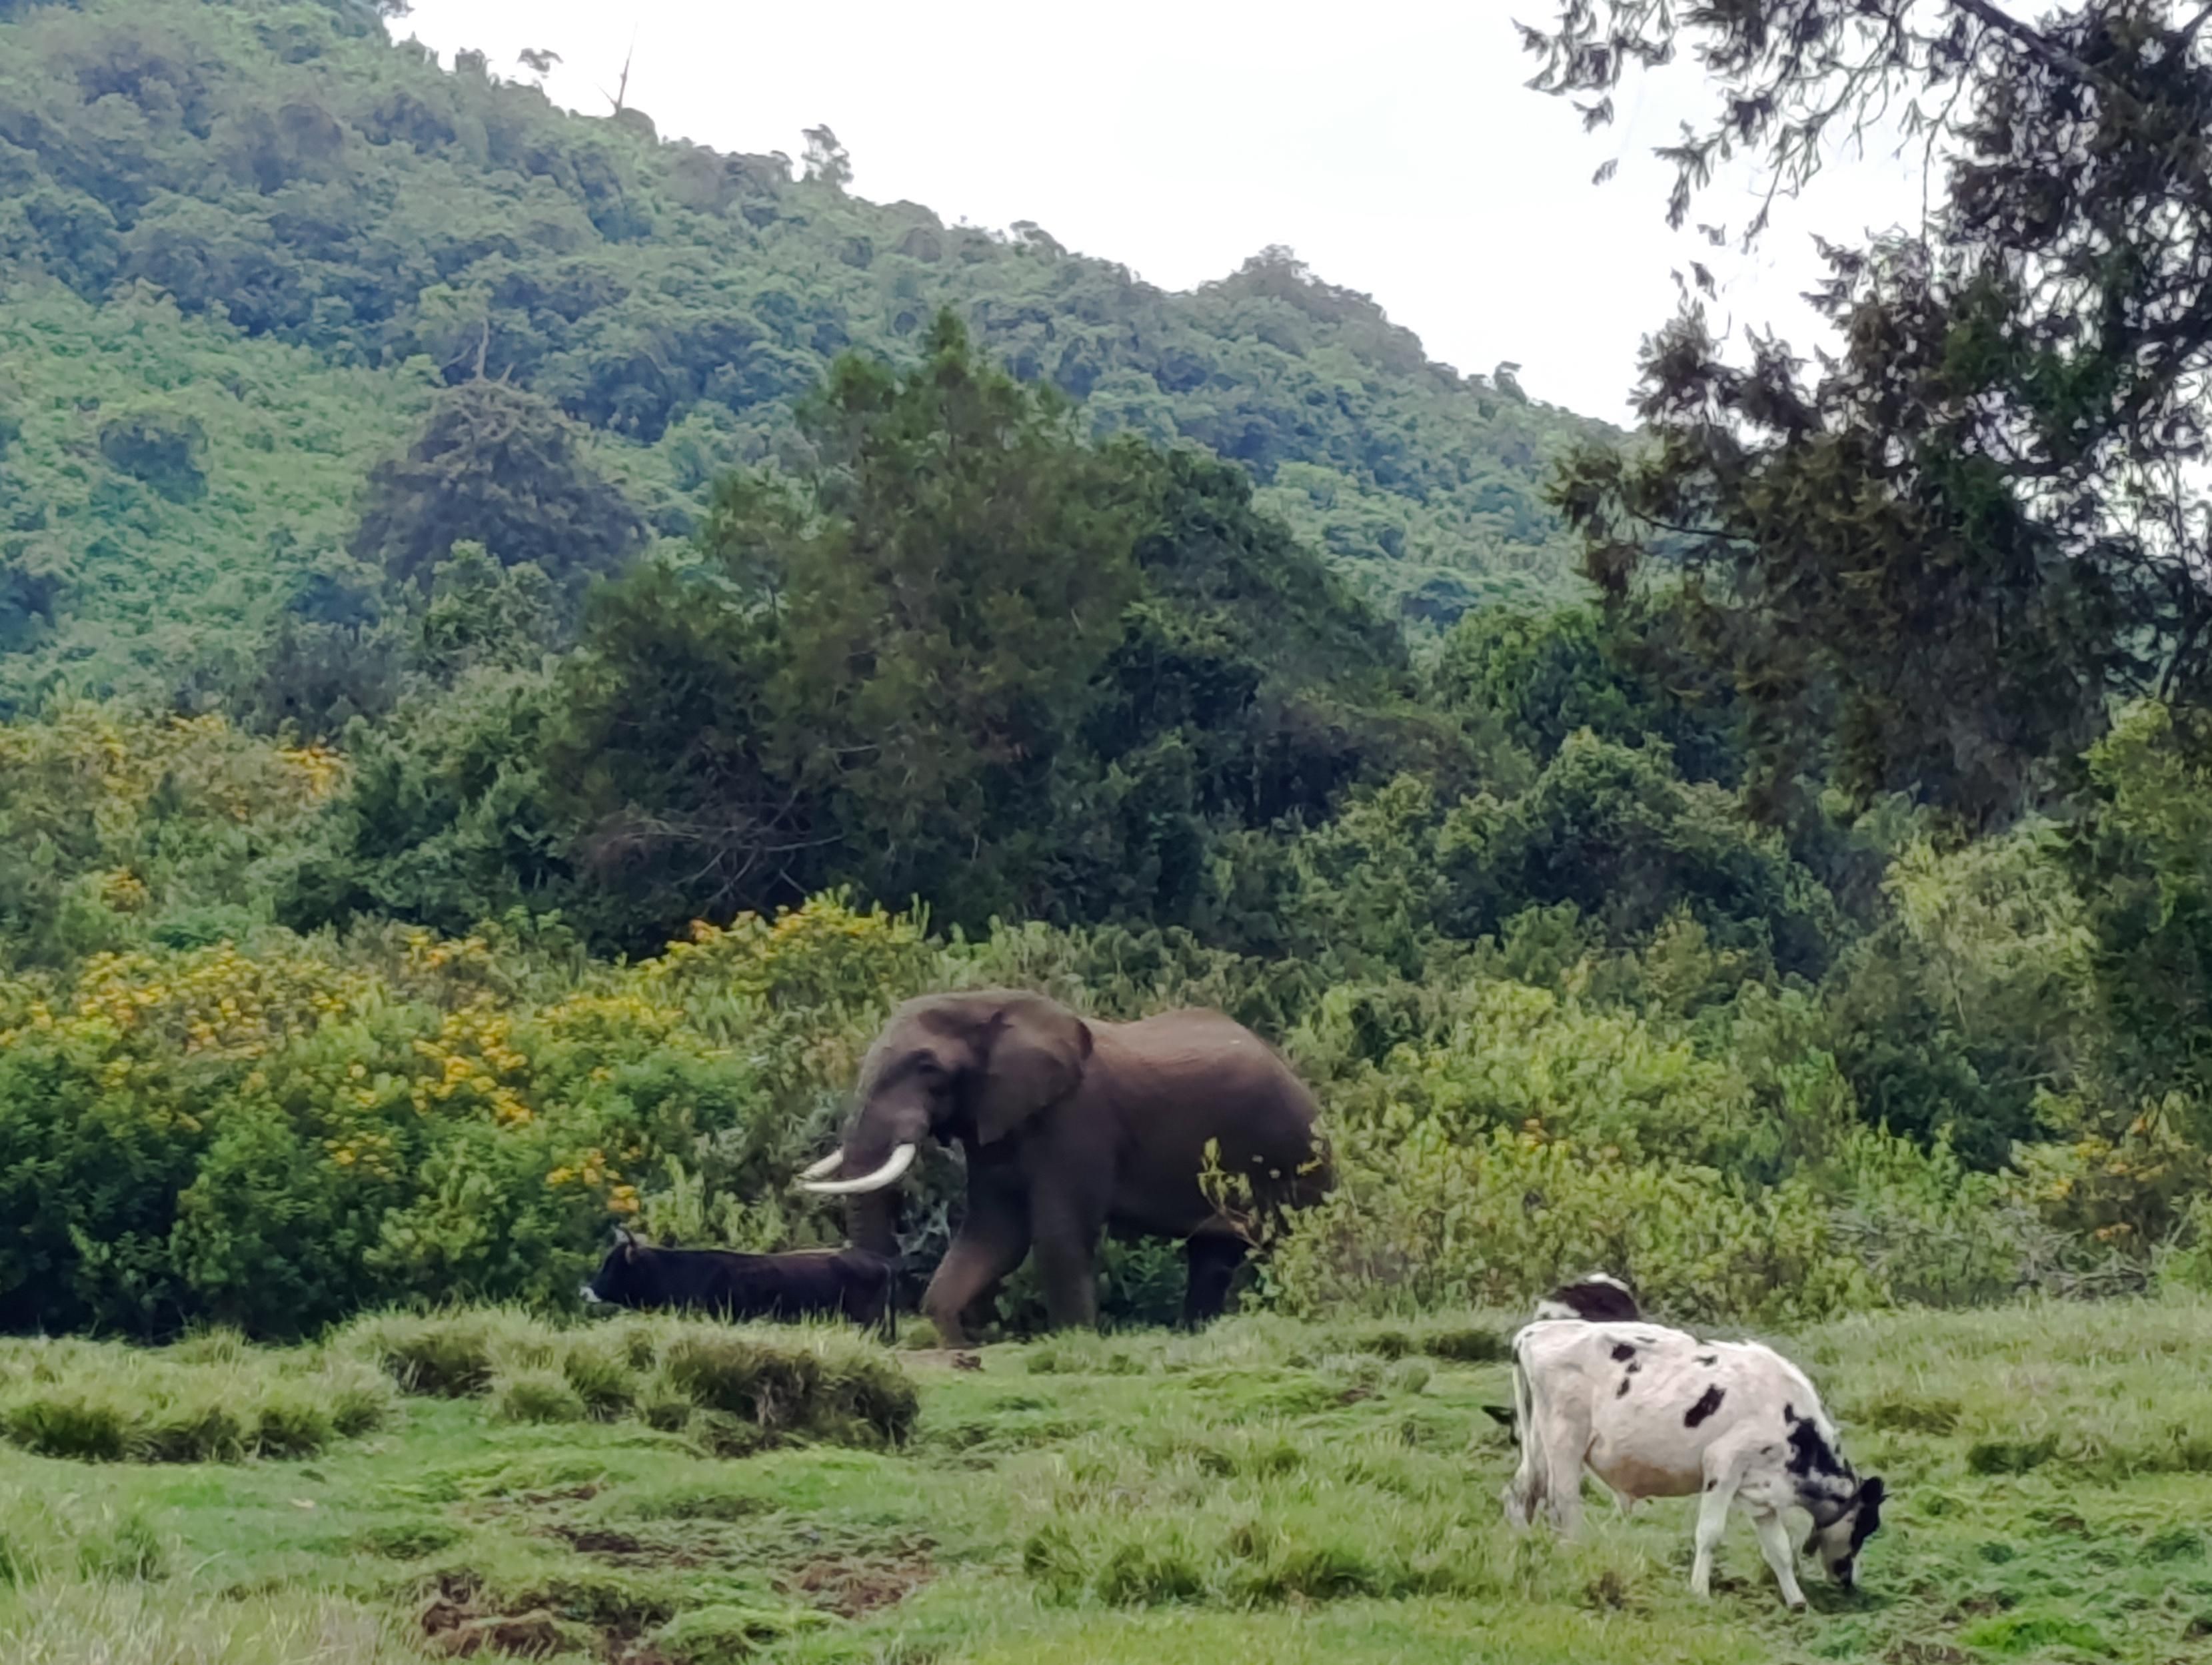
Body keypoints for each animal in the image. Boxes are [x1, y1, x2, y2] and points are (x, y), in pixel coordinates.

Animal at [797, 990, 1330, 1346]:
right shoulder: (994, 1123)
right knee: (1212, 1258)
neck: (987, 1003)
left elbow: (1055, 1233)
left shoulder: (1077, 1122)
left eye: (928, 1068)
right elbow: (995, 1233)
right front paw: (949, 1337)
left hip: (1295, 1155)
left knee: (1294, 1244)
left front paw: (1075, 1342)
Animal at [1502, 1316, 1884, 1608]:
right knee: (1563, 1503)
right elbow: (1710, 1534)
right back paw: (1573, 1557)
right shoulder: (1724, 1465)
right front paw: (1700, 1592)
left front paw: (1797, 1601)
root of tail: (1535, 1332)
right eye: (1867, 1525)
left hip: (1537, 1442)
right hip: (1564, 1439)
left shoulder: (1761, 1487)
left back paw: (1526, 1550)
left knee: (1520, 1495)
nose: (1848, 1580)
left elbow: (1778, 1549)